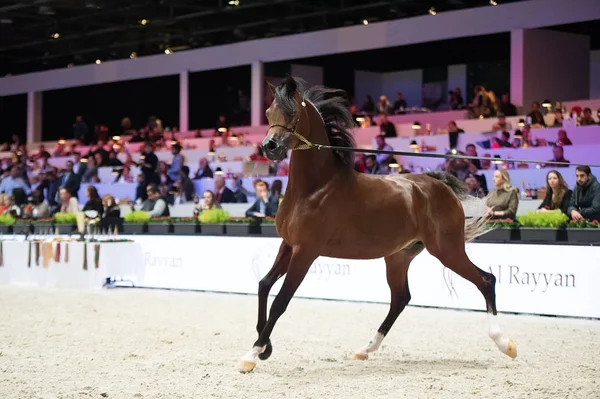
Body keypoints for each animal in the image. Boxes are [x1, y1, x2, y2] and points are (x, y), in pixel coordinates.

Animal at [239, 76, 516, 376]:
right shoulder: (288, 244)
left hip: (447, 250)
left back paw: (505, 344)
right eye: (269, 113)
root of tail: (439, 186)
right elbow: (264, 285)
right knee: (401, 298)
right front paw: (265, 347)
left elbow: (281, 300)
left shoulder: (306, 251)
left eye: (292, 113)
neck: (315, 189)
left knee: (486, 280)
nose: (269, 147)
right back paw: (365, 349)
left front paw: (252, 354)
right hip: (399, 256)